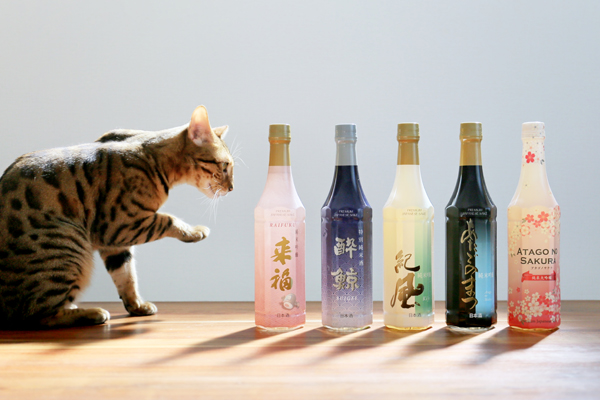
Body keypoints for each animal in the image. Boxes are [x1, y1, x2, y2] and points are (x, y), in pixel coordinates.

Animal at [0, 105, 234, 329]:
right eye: (224, 166)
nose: (232, 188)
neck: (154, 160)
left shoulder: (115, 241)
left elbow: (126, 274)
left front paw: (136, 305)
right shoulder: (120, 224)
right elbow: (168, 219)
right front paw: (194, 232)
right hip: (68, 246)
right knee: (36, 315)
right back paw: (91, 313)